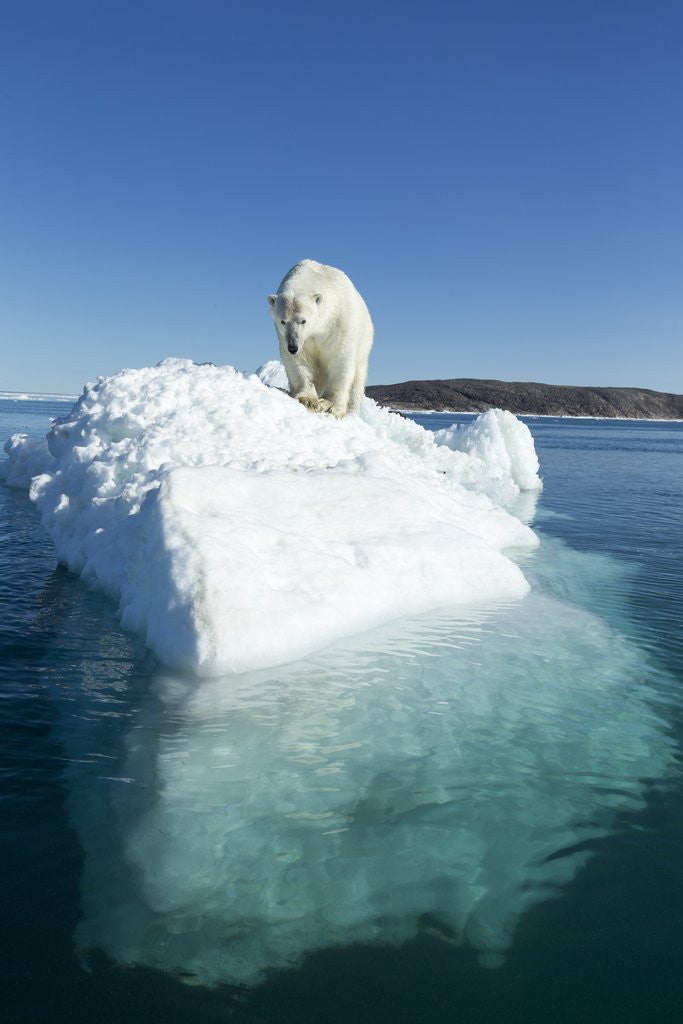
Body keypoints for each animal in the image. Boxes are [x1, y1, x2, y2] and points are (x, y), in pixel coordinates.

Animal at [267, 259, 374, 418]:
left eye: (303, 320)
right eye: (283, 321)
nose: (293, 346)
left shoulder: (339, 322)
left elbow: (340, 360)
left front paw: (330, 405)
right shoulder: (291, 338)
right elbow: (299, 361)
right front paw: (308, 399)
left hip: (364, 342)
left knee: (358, 378)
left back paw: (353, 411)